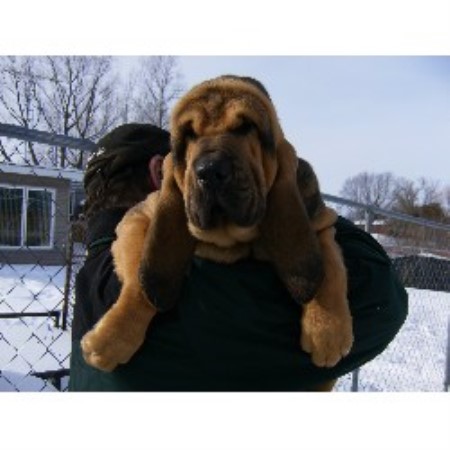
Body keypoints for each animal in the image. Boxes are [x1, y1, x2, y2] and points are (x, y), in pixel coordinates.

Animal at [81, 74, 356, 380]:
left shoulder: (322, 222)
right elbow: (140, 279)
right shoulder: (136, 218)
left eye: (246, 127)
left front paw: (328, 330)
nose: (210, 171)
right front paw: (112, 338)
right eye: (189, 134)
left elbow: (329, 267)